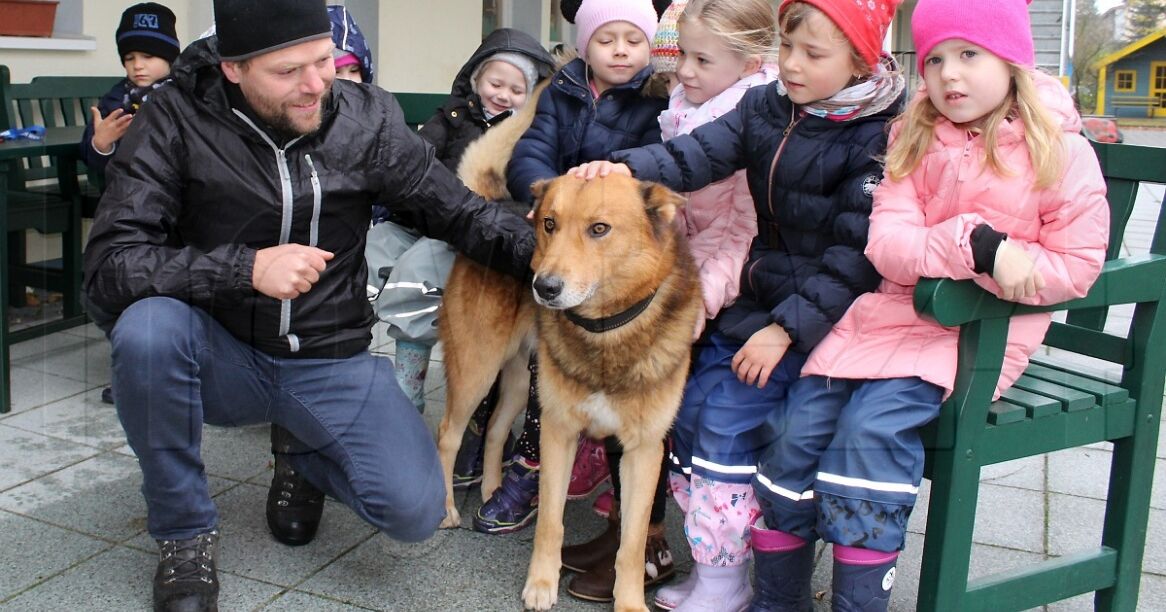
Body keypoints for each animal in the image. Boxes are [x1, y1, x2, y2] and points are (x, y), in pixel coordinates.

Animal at [520, 173, 699, 606]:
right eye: (549, 223)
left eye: (599, 229)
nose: (544, 287)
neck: (604, 332)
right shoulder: (558, 431)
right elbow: (549, 522)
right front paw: (541, 583)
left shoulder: (644, 450)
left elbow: (632, 545)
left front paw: (630, 601)